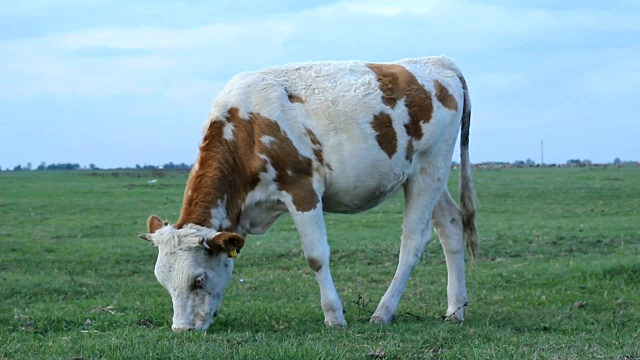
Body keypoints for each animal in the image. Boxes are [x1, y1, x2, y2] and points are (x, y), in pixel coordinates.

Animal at [138, 56, 478, 332]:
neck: (247, 130)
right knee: (450, 224)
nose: (181, 329)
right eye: (163, 282)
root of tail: (438, 62)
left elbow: (316, 257)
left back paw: (384, 312)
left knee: (413, 242)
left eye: (198, 280)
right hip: (427, 174)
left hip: (428, 170)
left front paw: (334, 317)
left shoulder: (302, 189)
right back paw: (455, 310)